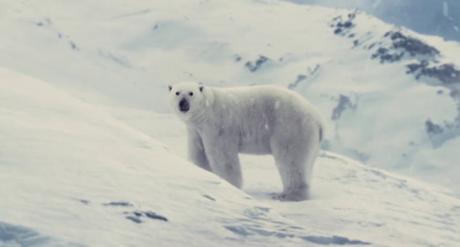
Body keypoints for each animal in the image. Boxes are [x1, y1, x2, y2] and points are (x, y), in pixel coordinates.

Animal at [168, 81, 324, 201]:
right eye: (177, 92)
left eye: (191, 93)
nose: (183, 104)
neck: (206, 110)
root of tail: (318, 118)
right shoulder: (195, 130)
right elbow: (199, 153)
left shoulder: (219, 126)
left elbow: (223, 156)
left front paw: (230, 185)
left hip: (290, 128)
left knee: (290, 159)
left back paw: (288, 196)